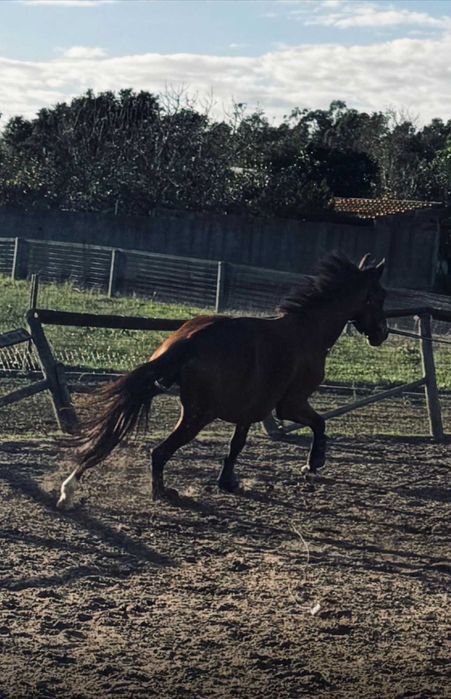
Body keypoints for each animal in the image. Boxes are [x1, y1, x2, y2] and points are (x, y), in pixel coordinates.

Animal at [57, 252, 388, 509]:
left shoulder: (249, 411)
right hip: (200, 415)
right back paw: (162, 493)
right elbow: (319, 423)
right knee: (159, 452)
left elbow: (236, 445)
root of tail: (187, 341)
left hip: (190, 409)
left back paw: (73, 488)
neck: (306, 333)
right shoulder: (290, 404)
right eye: (379, 296)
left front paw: (228, 482)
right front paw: (313, 463)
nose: (382, 334)